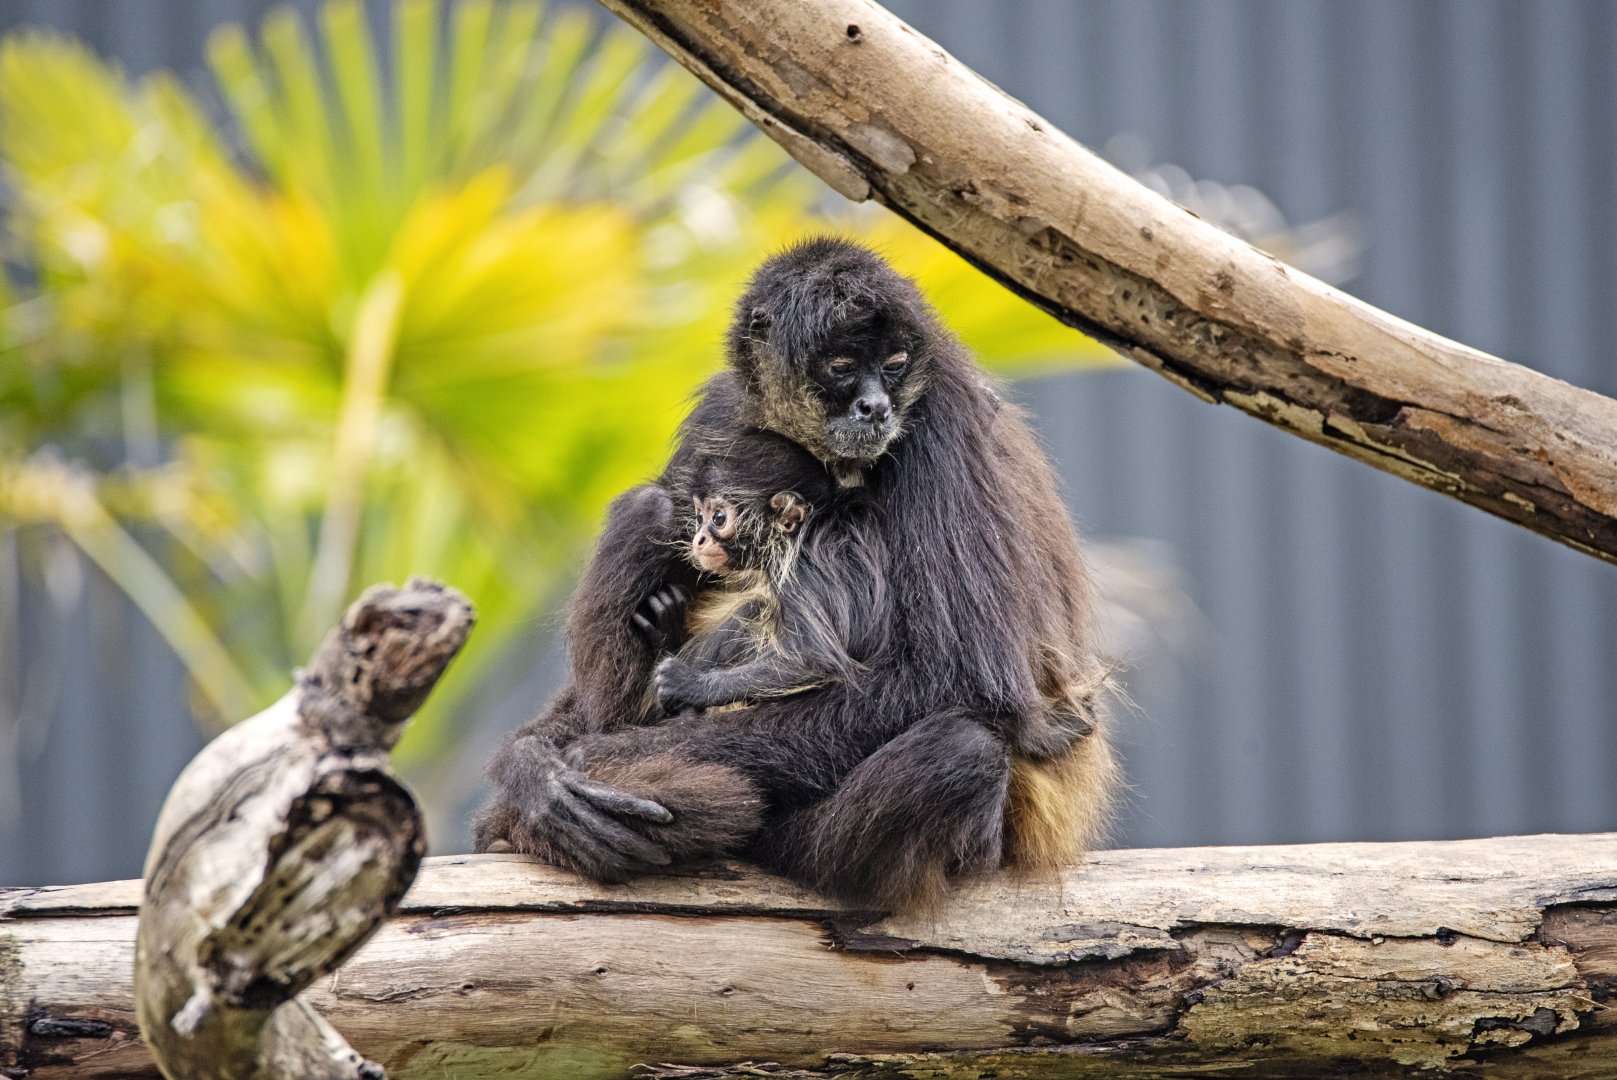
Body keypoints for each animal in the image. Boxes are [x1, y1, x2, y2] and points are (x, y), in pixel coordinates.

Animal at [476, 237, 1118, 909]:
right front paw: (534, 775)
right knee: (650, 508)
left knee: (961, 748)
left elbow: (961, 680)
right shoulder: (724, 409)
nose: (875, 406)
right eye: (841, 365)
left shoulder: (941, 417)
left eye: (894, 363)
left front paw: (590, 757)